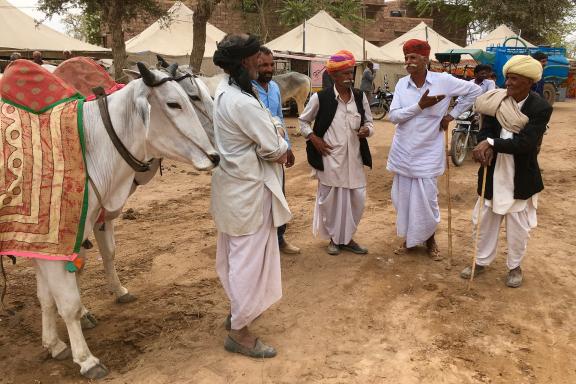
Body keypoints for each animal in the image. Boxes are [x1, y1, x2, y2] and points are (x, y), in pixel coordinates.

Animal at [32, 63, 220, 378]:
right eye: (178, 102)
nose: (216, 155)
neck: (91, 147)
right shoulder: (60, 235)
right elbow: (67, 298)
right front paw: (86, 358)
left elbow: (65, 283)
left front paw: (56, 341)